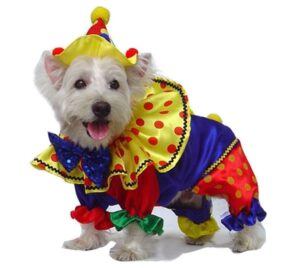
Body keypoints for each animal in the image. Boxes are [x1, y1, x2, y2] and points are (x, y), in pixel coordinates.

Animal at [32, 6, 268, 262]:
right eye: (79, 83)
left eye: (115, 84)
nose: (102, 107)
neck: (101, 153)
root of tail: (219, 123)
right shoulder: (88, 193)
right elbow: (89, 217)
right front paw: (86, 242)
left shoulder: (140, 193)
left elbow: (136, 223)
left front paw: (129, 250)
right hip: (189, 198)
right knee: (202, 213)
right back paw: (200, 236)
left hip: (235, 181)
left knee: (247, 213)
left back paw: (247, 241)